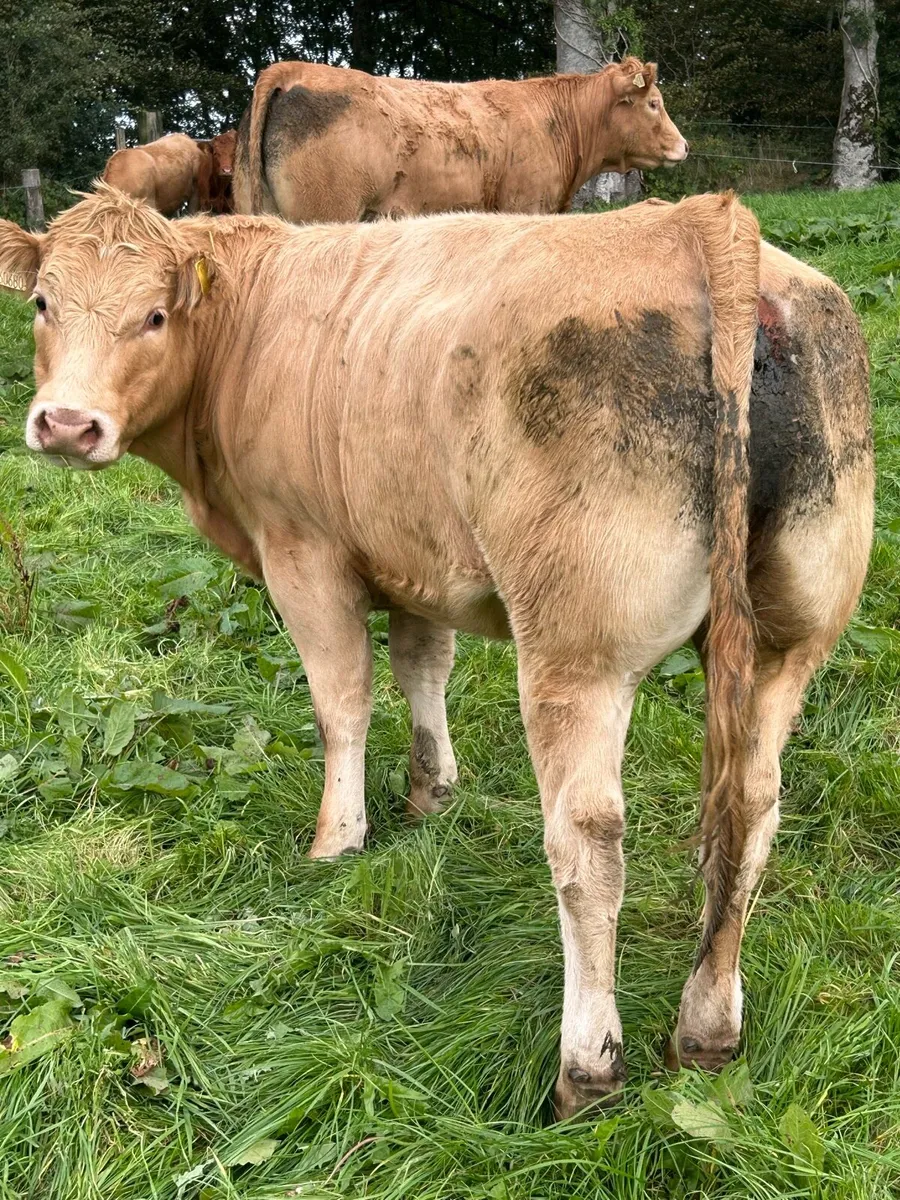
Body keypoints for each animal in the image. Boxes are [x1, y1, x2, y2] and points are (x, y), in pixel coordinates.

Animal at [0, 188, 872, 1120]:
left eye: (155, 315)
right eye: (43, 303)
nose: (66, 424)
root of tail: (699, 219)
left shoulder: (304, 553)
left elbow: (342, 701)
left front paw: (337, 840)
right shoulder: (417, 559)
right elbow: (424, 670)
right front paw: (432, 793)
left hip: (577, 653)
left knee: (589, 846)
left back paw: (587, 1068)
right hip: (786, 648)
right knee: (753, 809)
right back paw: (709, 1030)